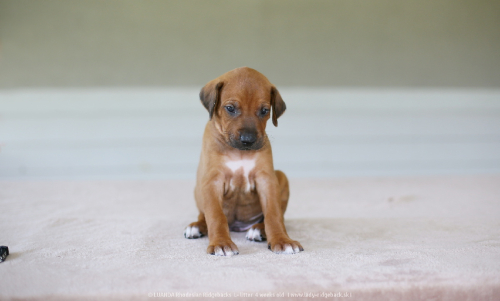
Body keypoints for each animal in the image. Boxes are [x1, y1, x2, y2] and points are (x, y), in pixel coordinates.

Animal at [183, 67, 302, 254]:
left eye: (264, 110)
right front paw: (221, 243)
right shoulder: (212, 181)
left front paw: (282, 240)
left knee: (272, 216)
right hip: (198, 188)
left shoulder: (266, 179)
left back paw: (259, 229)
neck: (238, 152)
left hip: (281, 177)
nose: (248, 140)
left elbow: (274, 214)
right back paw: (197, 226)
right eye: (230, 108)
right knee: (204, 215)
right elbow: (215, 216)